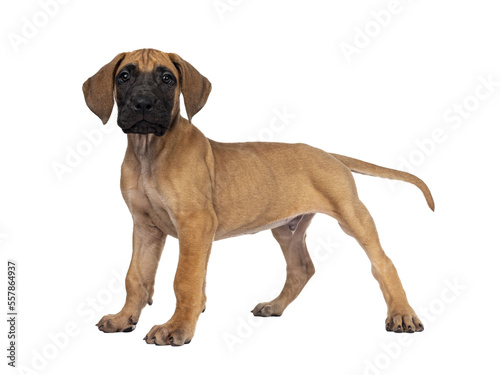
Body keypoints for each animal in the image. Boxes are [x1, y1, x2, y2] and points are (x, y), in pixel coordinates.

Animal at [82, 48, 434, 348]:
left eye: (167, 78)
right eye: (123, 77)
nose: (142, 104)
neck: (150, 151)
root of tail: (328, 154)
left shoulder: (194, 223)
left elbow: (185, 279)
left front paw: (177, 328)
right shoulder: (145, 227)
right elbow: (136, 276)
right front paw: (124, 318)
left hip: (352, 214)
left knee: (383, 263)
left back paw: (402, 314)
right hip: (287, 229)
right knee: (302, 268)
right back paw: (275, 305)